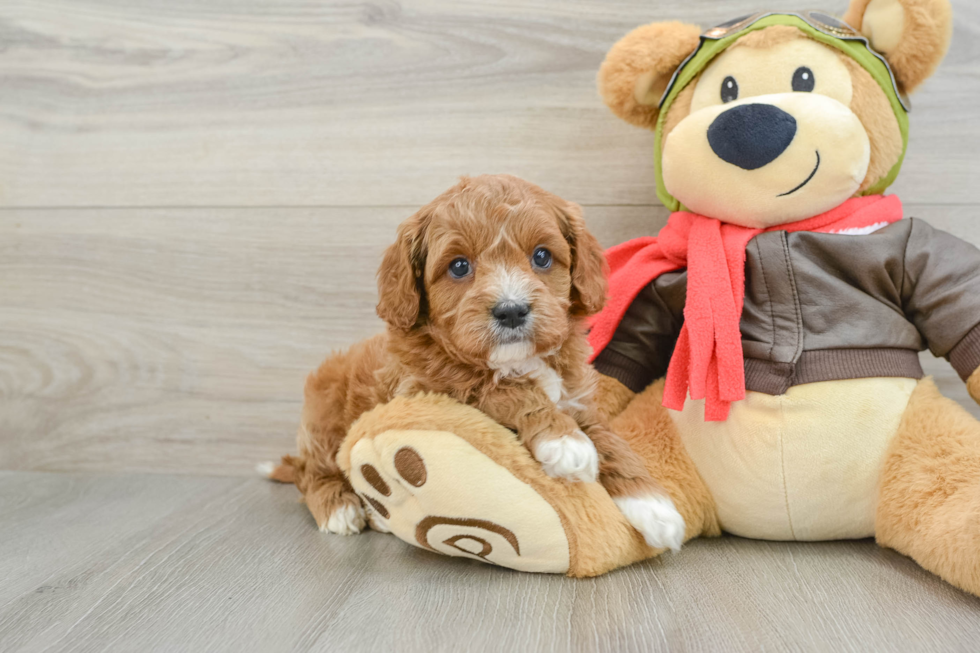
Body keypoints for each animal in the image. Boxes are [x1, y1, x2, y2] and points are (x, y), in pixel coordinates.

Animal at [264, 174, 684, 552]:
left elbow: (610, 440)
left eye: (542, 256)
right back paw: (342, 509)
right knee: (311, 473)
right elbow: (505, 390)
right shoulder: (431, 388)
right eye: (459, 266)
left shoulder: (576, 398)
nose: (512, 310)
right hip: (324, 418)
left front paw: (655, 507)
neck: (518, 360)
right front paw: (564, 441)